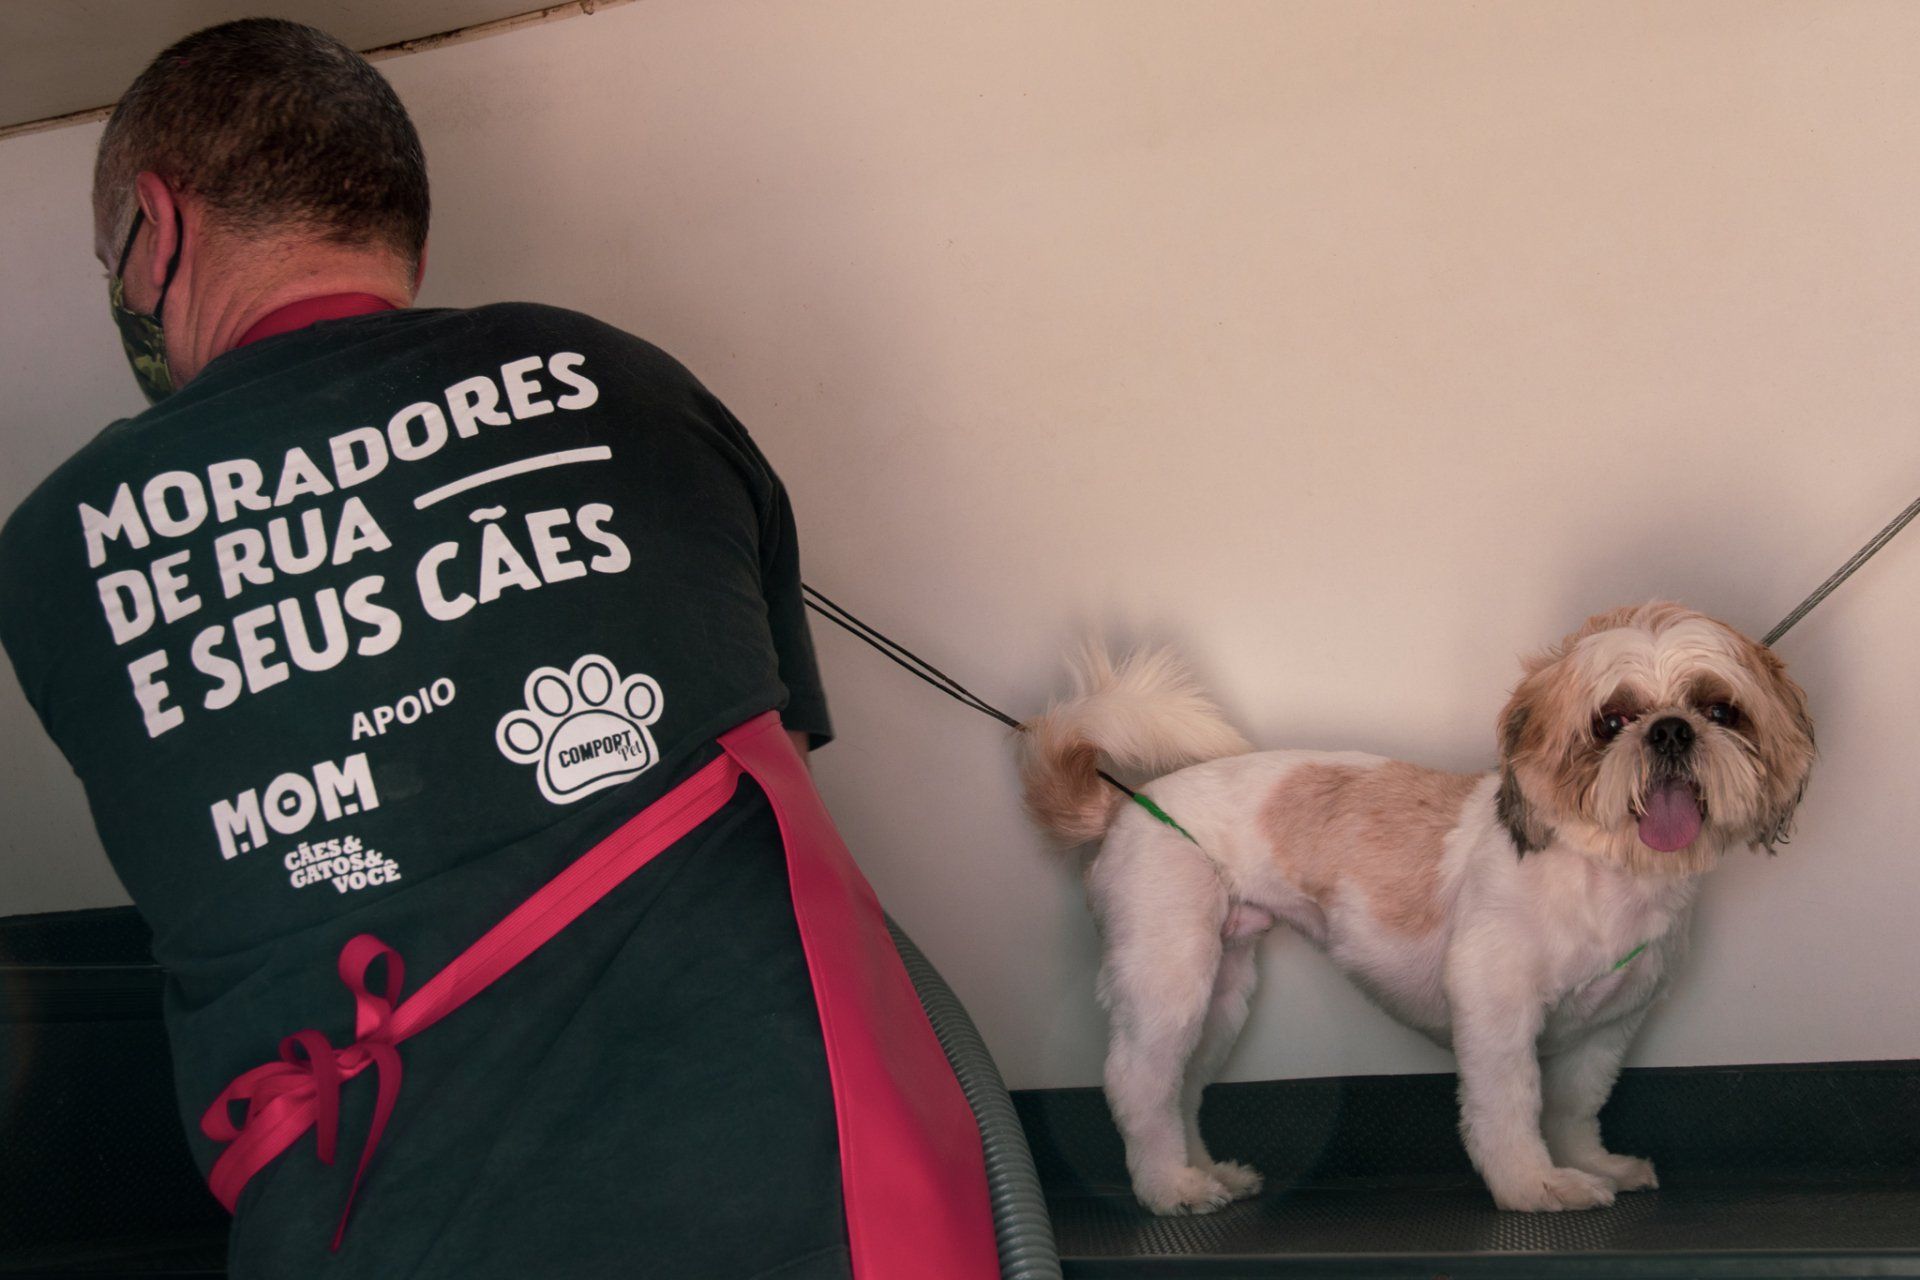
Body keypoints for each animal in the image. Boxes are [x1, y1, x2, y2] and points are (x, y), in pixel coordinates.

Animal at [1018, 602, 1814, 1215]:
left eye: (1720, 709)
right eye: (1611, 721)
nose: (1671, 729)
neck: (1603, 875)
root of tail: (1126, 805)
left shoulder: (1608, 1027)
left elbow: (1574, 1105)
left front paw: (1592, 1165)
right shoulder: (1496, 1010)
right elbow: (1510, 1106)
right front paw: (1535, 1186)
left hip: (1221, 991)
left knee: (1180, 1086)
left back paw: (1202, 1172)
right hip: (1168, 969)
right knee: (1138, 1084)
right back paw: (1168, 1190)